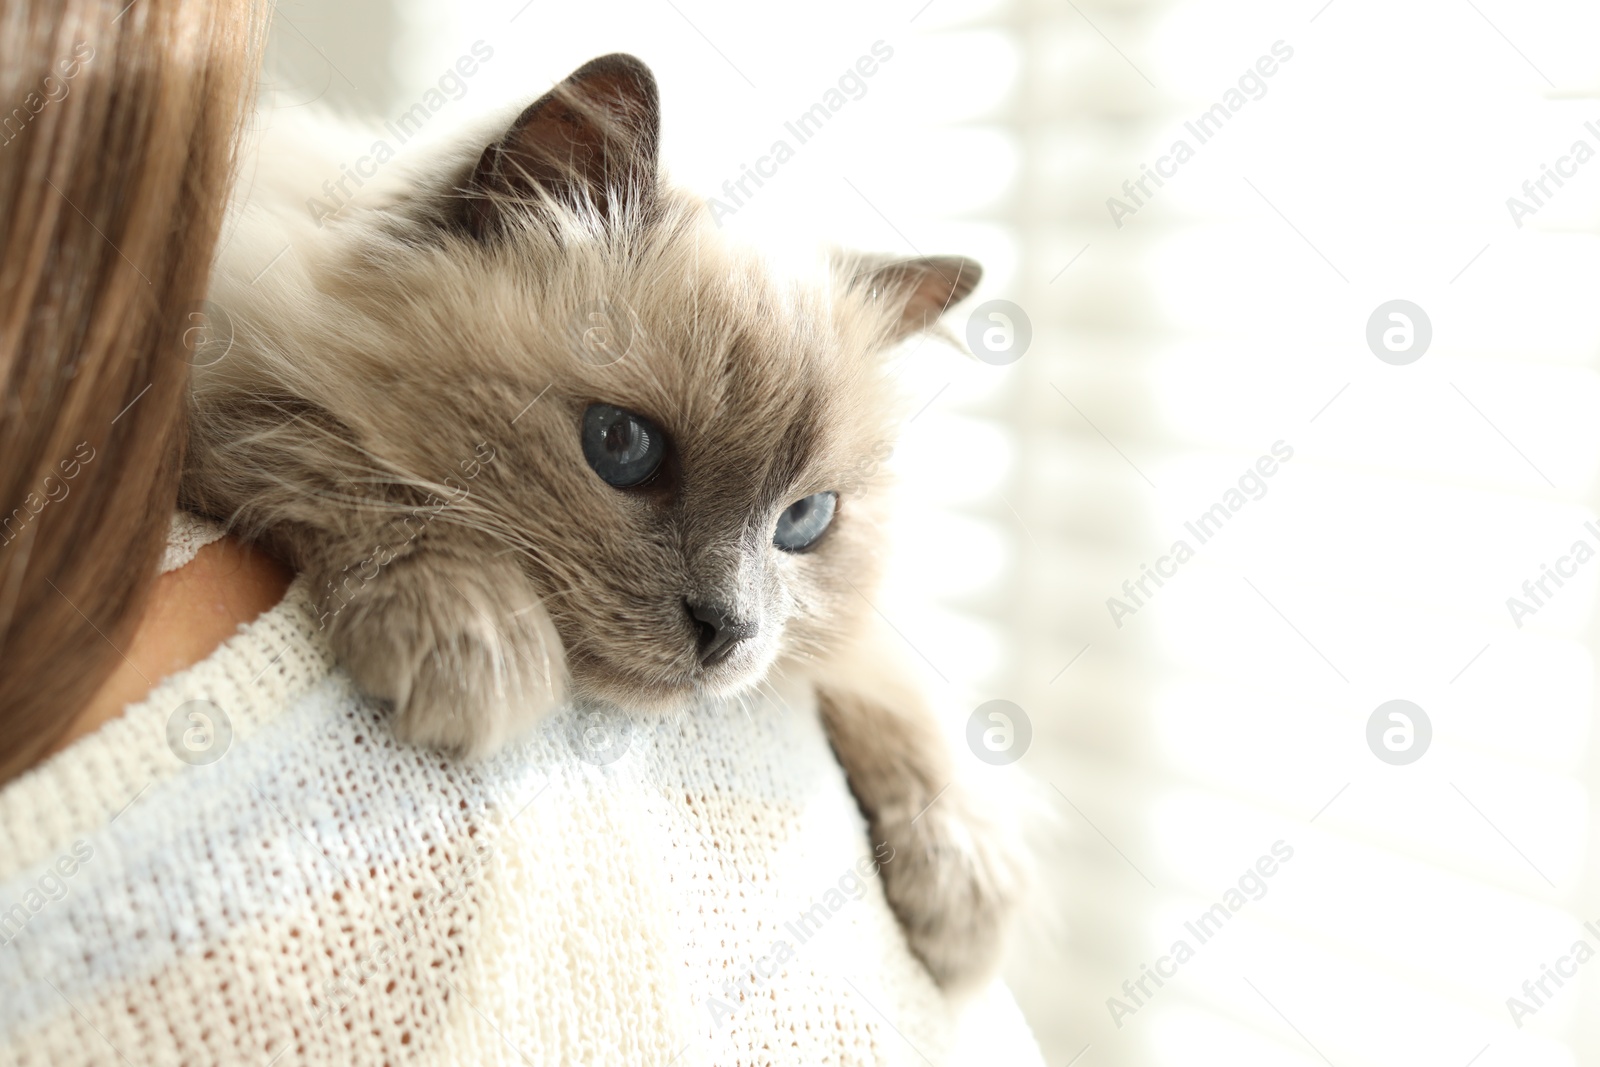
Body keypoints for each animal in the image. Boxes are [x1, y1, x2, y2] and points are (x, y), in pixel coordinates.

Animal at [184, 51, 1024, 991]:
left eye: (803, 520)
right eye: (621, 446)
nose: (728, 628)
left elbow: (884, 675)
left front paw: (964, 885)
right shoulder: (208, 392)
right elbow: (349, 461)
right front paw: (475, 643)